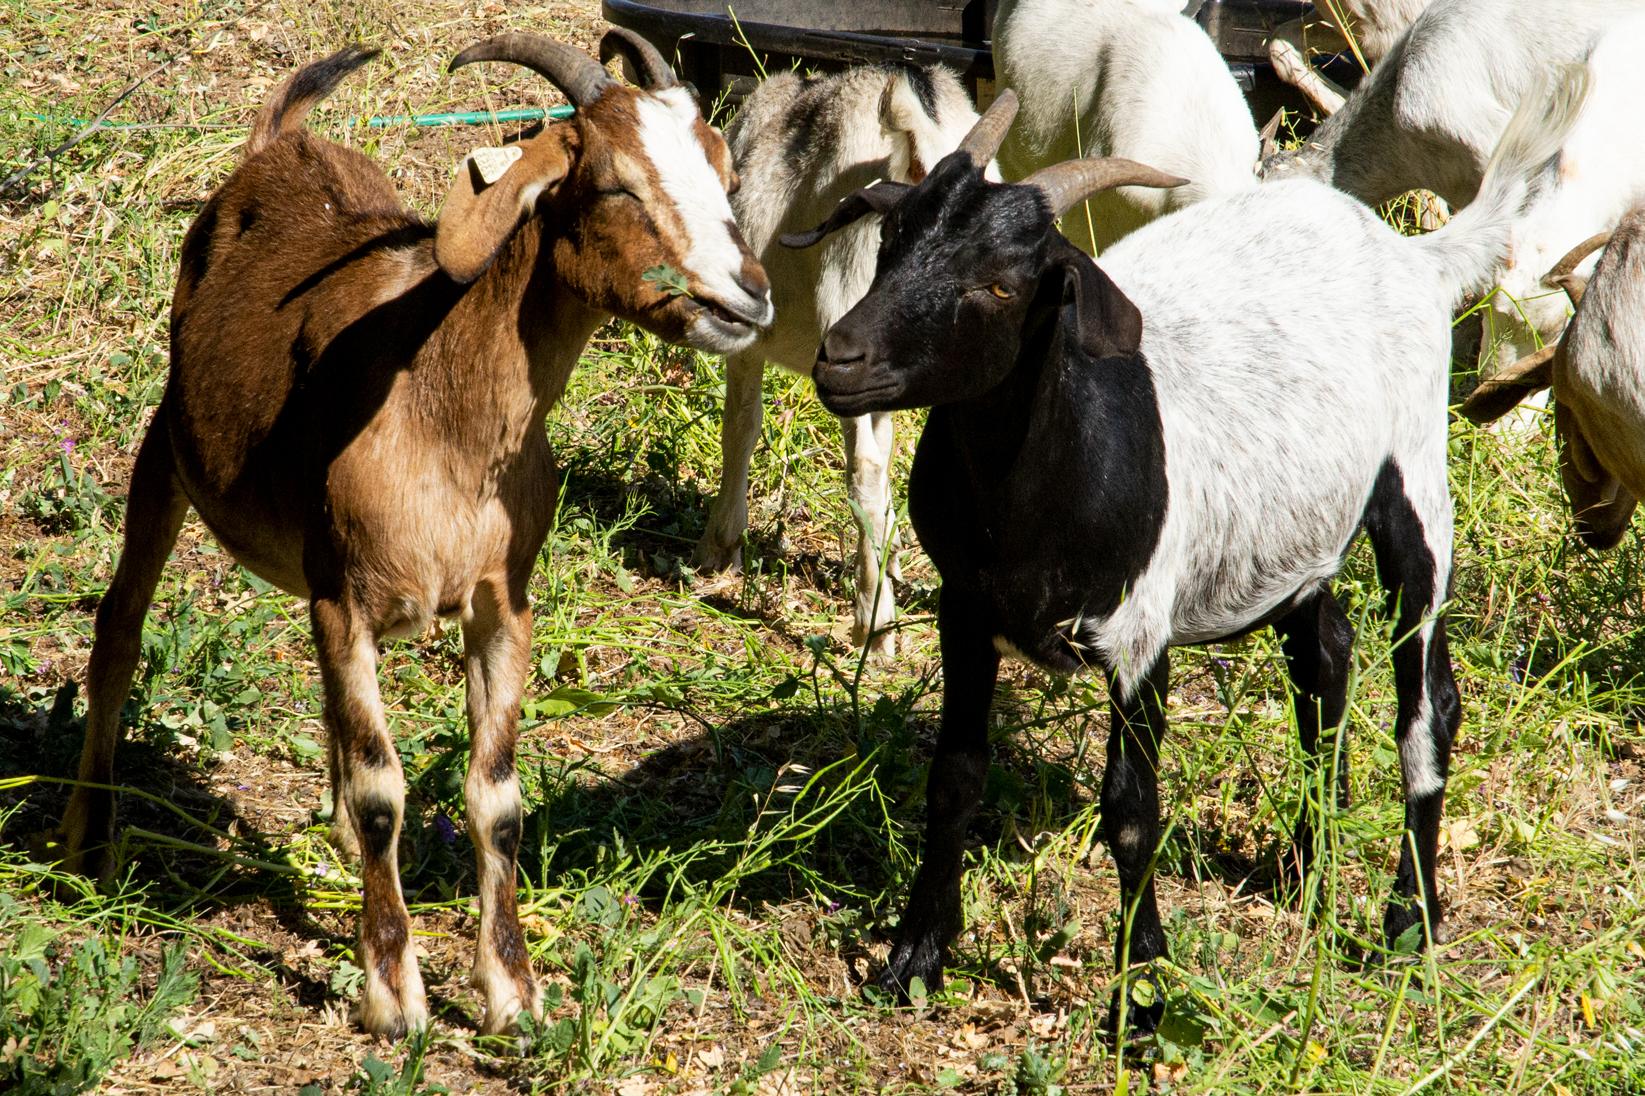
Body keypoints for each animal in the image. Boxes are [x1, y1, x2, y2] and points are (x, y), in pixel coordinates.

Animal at [54, 32, 766, 1033]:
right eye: (615, 182)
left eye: (724, 170)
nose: (747, 300)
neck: (441, 408)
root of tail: (278, 145)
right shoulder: (341, 599)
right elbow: (384, 790)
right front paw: (392, 991)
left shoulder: (502, 602)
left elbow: (495, 797)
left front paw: (511, 989)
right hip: (167, 449)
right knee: (118, 630)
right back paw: (87, 841)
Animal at [789, 70, 1585, 1026]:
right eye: (891, 240)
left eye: (1001, 285)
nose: (841, 357)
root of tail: (1414, 256)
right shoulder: (963, 605)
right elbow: (953, 779)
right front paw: (912, 958)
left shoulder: (1139, 634)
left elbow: (1130, 810)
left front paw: (1141, 991)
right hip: (1293, 533)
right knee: (1325, 655)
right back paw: (1305, 861)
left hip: (1416, 489)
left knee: (1427, 704)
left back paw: (1406, 922)